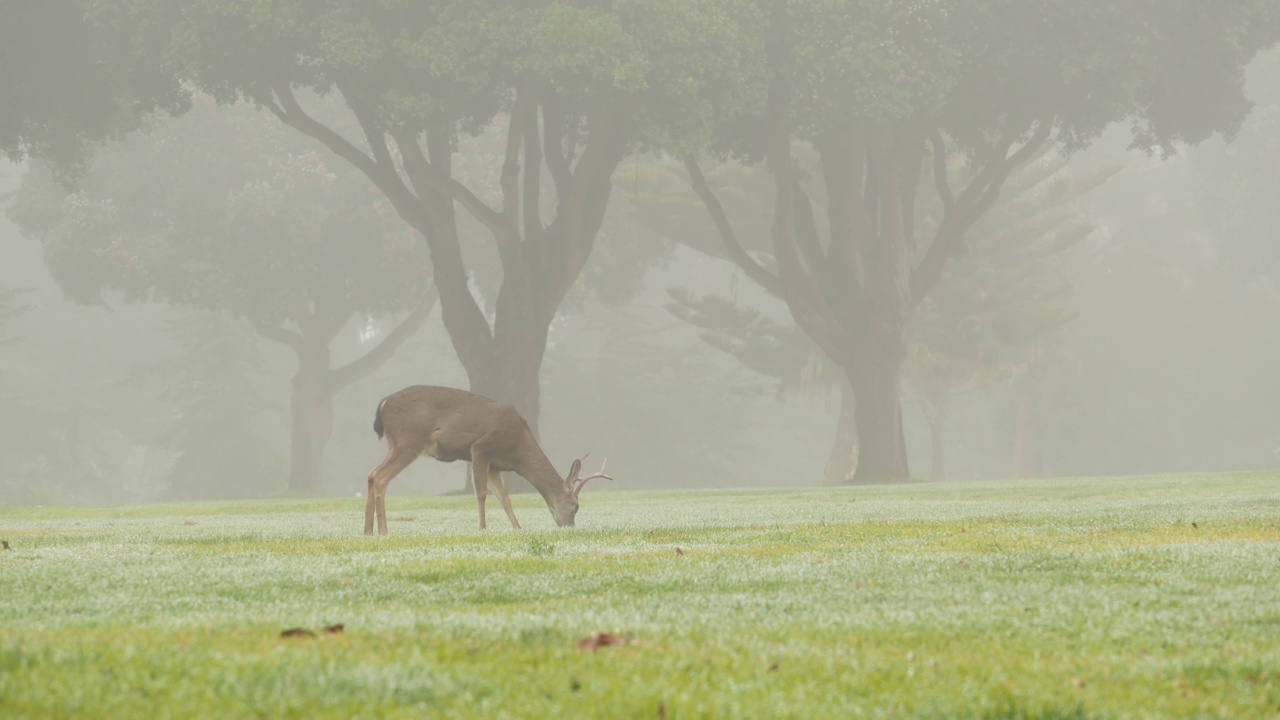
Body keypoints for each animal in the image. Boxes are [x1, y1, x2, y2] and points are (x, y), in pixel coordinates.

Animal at [366, 384, 614, 530]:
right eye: (576, 506)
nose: (569, 527)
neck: (517, 449)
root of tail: (383, 404)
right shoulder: (480, 447)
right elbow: (482, 493)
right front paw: (482, 528)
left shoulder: (495, 464)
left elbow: (504, 498)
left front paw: (517, 528)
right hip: (409, 440)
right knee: (381, 477)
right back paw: (383, 531)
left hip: (395, 443)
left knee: (371, 474)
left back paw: (368, 532)